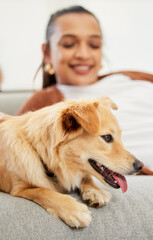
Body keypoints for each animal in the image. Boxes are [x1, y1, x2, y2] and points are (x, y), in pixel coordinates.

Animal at [0, 97, 143, 227]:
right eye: (107, 137)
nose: (140, 166)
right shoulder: (19, 188)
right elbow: (43, 191)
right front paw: (74, 210)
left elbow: (86, 177)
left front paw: (96, 192)